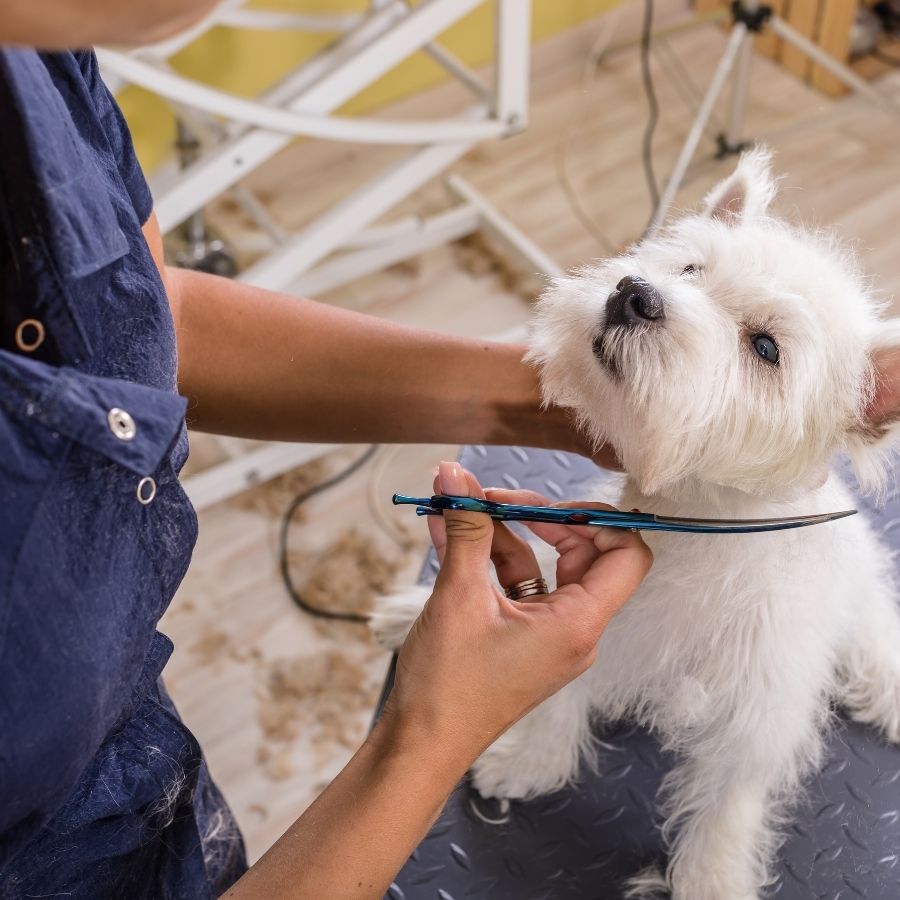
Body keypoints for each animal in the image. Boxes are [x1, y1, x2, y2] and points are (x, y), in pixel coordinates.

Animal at [374, 151, 900, 896]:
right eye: (690, 269)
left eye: (766, 347)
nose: (634, 293)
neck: (699, 523)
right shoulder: (606, 622)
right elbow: (561, 696)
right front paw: (530, 762)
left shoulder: (756, 710)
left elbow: (729, 803)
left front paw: (711, 878)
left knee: (877, 633)